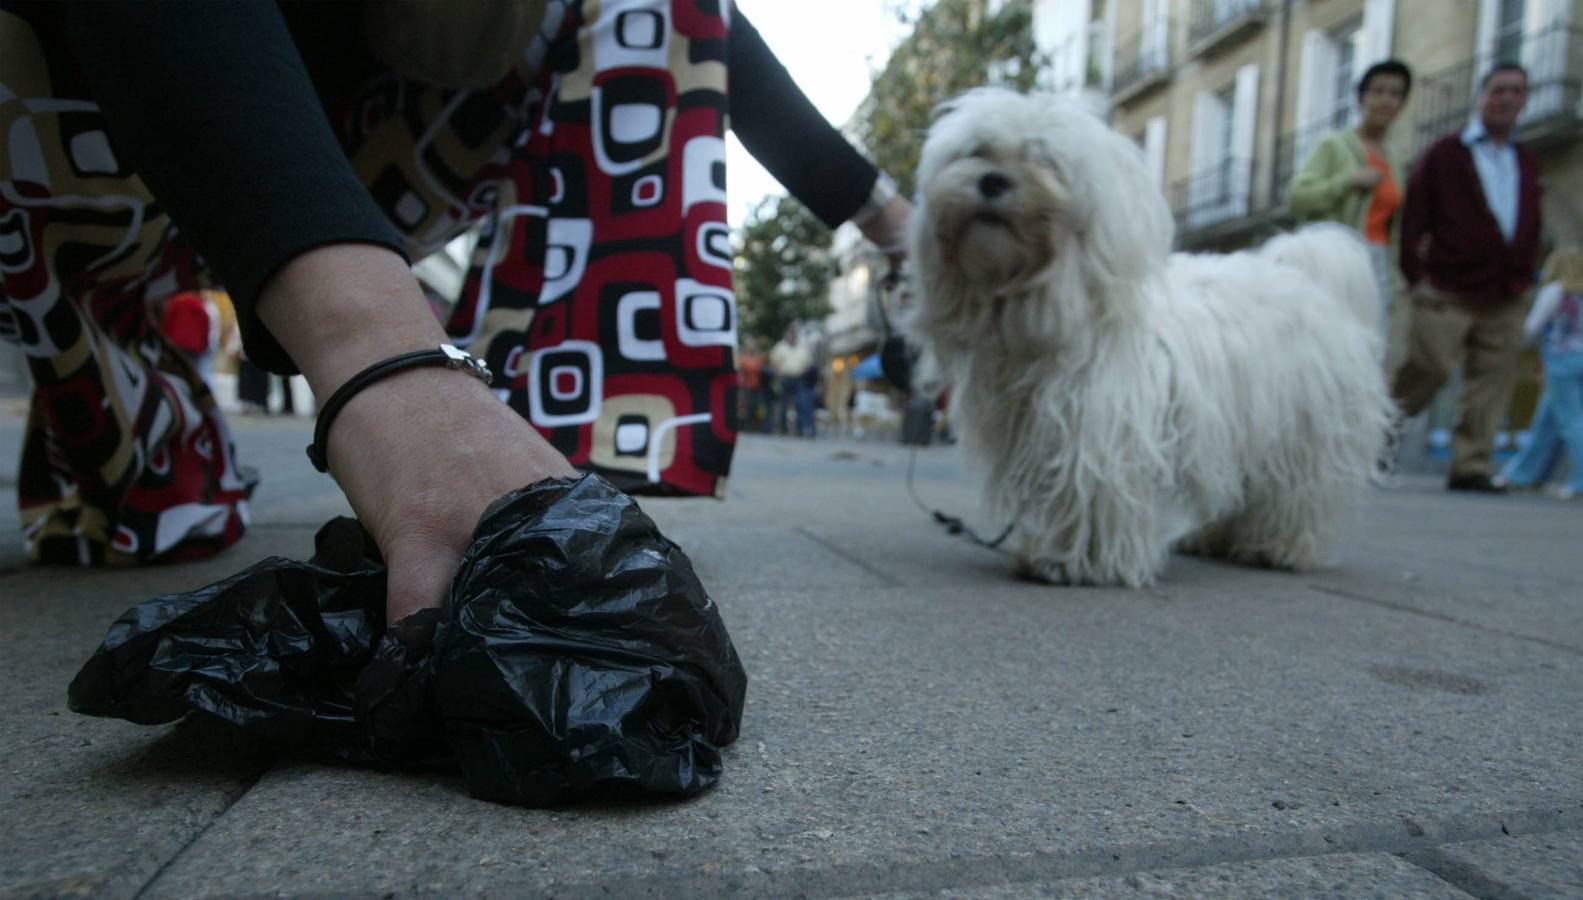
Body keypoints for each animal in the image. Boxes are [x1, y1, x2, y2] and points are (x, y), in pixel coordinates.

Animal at [911, 89, 1393, 582]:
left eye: (1044, 159)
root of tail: (1311, 281)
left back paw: (1278, 546)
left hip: (1301, 433)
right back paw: (1214, 538)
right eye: (977, 151)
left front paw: (1075, 560)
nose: (991, 180)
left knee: (1293, 494)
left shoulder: (1097, 430)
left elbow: (1088, 491)